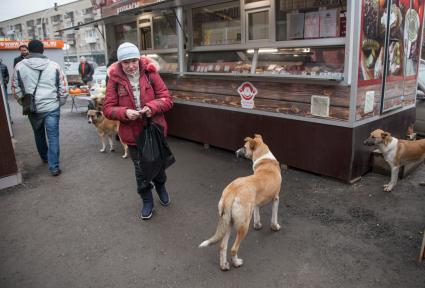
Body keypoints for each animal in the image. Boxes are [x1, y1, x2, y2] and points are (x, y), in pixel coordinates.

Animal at [199, 134, 282, 270]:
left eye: (244, 147)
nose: (235, 152)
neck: (265, 159)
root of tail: (231, 191)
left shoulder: (256, 204)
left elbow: (257, 215)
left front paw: (257, 225)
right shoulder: (276, 198)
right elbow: (274, 217)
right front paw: (275, 227)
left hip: (228, 222)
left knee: (222, 246)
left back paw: (224, 266)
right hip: (243, 226)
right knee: (233, 248)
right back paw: (236, 262)